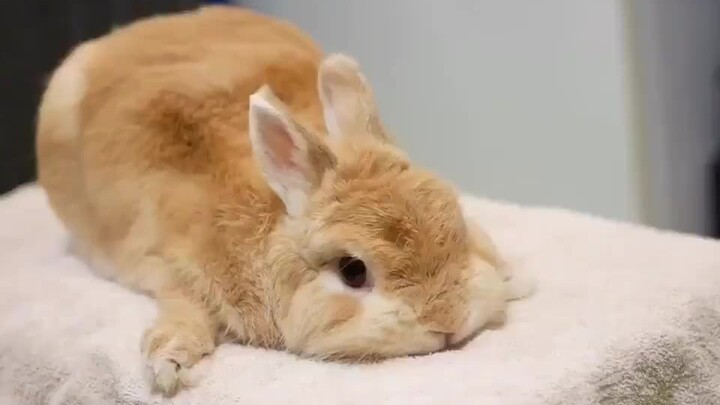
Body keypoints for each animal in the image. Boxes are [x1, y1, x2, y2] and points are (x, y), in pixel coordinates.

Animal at [36, 5, 528, 396]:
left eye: (458, 227)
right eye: (353, 271)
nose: (447, 322)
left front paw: (515, 277)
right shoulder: (171, 269)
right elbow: (184, 311)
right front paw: (168, 367)